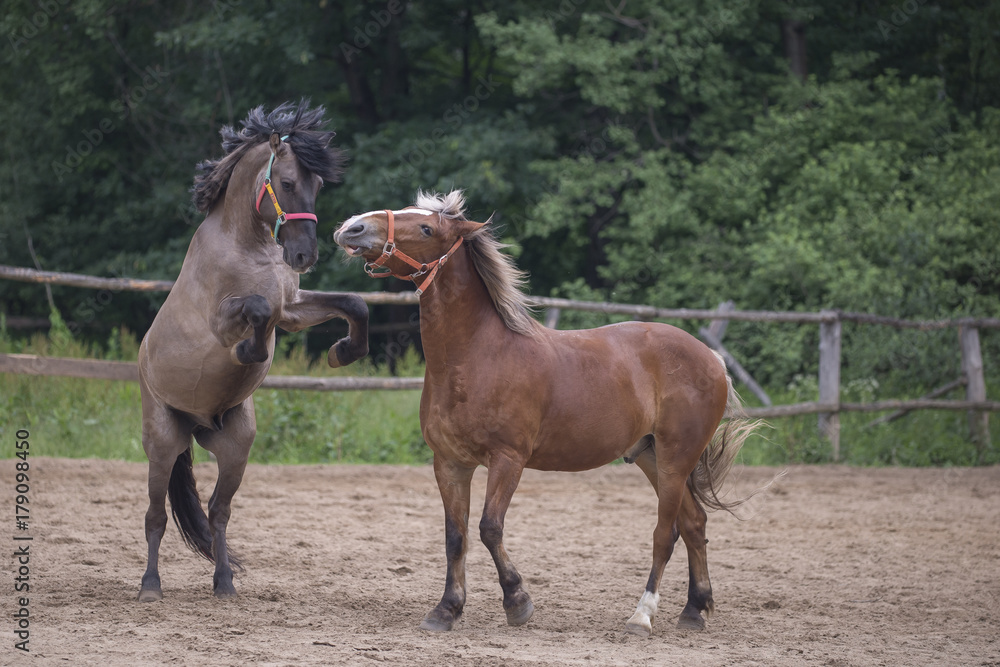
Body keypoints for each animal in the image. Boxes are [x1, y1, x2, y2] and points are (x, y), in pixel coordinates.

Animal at [136, 101, 369, 602]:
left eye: (318, 185)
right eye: (287, 183)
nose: (304, 256)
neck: (247, 244)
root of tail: (196, 425)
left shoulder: (292, 310)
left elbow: (352, 303)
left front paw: (344, 352)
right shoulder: (224, 320)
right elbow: (256, 313)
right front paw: (249, 350)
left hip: (236, 448)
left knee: (217, 511)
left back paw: (224, 582)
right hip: (162, 443)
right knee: (155, 516)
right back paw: (149, 586)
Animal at [333, 190, 761, 636]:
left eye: (426, 228)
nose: (353, 228)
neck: (476, 355)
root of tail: (711, 358)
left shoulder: (508, 459)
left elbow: (489, 528)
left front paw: (517, 602)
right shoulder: (450, 463)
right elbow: (456, 537)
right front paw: (446, 610)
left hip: (677, 459)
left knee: (667, 532)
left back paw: (642, 615)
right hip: (651, 456)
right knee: (695, 524)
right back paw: (694, 610)